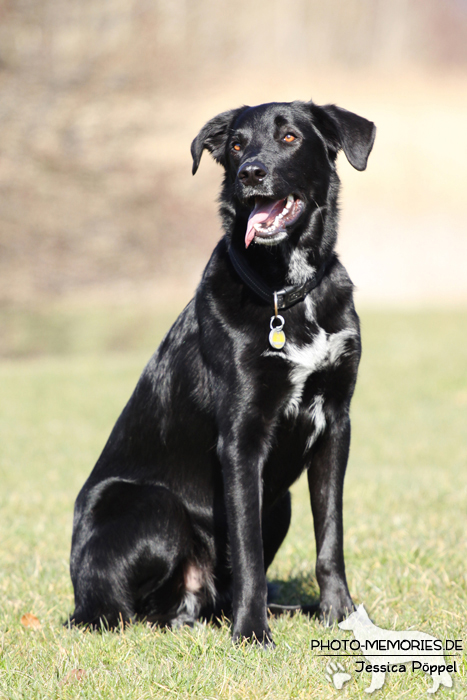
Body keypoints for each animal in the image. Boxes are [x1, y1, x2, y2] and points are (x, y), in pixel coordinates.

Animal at [69, 98, 376, 644]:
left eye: (291, 137)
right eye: (236, 145)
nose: (251, 172)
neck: (284, 293)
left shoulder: (336, 425)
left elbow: (331, 536)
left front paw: (339, 614)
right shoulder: (241, 438)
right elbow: (248, 549)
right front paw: (251, 633)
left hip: (281, 501)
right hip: (151, 508)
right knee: (122, 612)